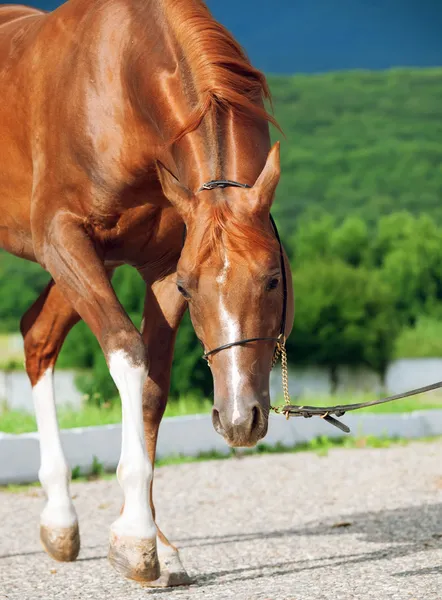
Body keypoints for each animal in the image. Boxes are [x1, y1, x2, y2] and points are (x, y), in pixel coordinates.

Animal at [0, 0, 294, 588]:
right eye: (190, 285)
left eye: (273, 277)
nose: (238, 419)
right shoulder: (62, 237)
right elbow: (127, 353)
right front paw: (138, 539)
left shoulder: (156, 263)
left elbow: (153, 390)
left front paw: (153, 543)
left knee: (36, 334)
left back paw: (59, 520)